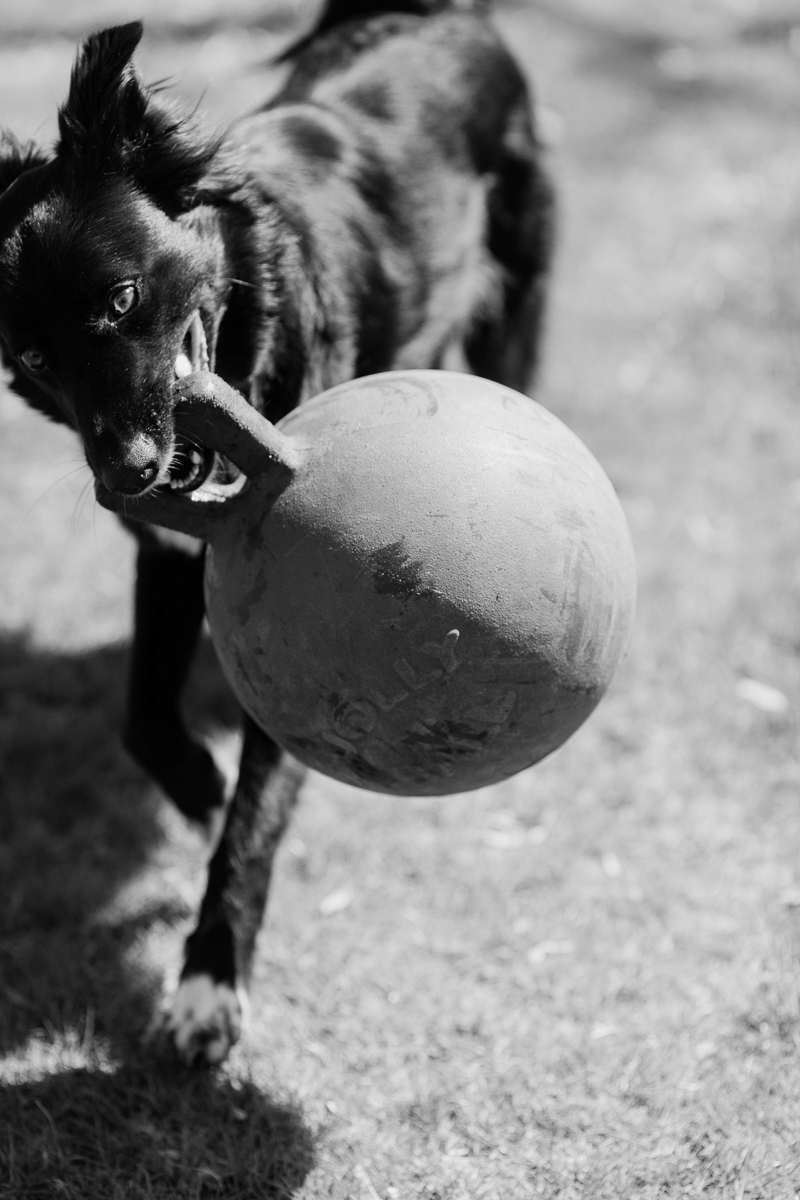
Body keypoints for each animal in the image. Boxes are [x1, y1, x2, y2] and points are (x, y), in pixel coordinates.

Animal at [0, 2, 551, 1070]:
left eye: (123, 298)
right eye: (35, 358)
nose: (125, 474)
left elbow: (254, 822)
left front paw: (209, 986)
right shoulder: (172, 562)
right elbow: (143, 721)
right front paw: (196, 787)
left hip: (514, 308)